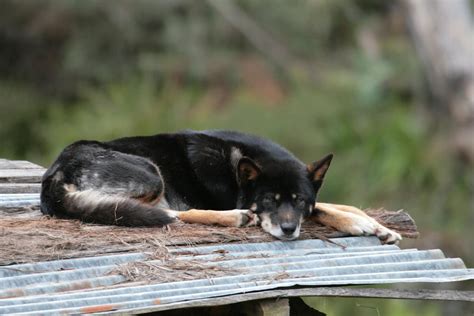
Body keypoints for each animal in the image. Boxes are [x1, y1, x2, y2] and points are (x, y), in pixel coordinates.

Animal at [40, 130, 402, 243]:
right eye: (269, 200)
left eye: (300, 200)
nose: (288, 231)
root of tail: (52, 175)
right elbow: (327, 209)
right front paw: (360, 224)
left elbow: (334, 204)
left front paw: (380, 227)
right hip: (152, 174)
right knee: (172, 214)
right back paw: (235, 217)